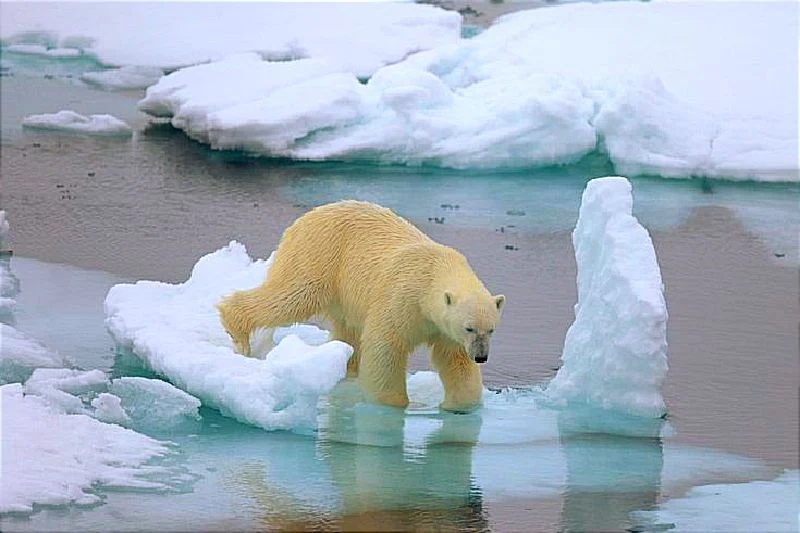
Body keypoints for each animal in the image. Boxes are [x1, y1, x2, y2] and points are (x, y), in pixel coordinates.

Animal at [217, 200, 506, 412]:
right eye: (469, 327)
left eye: (491, 329)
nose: (482, 357)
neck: (433, 272)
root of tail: (307, 216)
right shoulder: (403, 298)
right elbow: (385, 346)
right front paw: (398, 403)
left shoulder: (443, 328)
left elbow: (453, 359)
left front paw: (458, 405)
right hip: (320, 255)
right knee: (291, 295)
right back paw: (237, 329)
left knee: (347, 331)